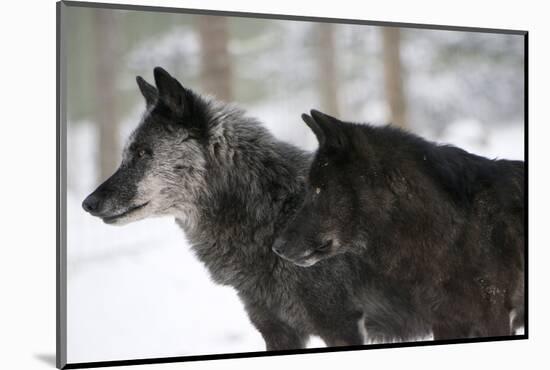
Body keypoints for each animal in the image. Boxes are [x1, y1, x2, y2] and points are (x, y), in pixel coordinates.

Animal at [82, 67, 432, 350]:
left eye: (143, 153)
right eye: (127, 153)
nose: (88, 203)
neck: (274, 215)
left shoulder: (340, 326)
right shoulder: (276, 331)